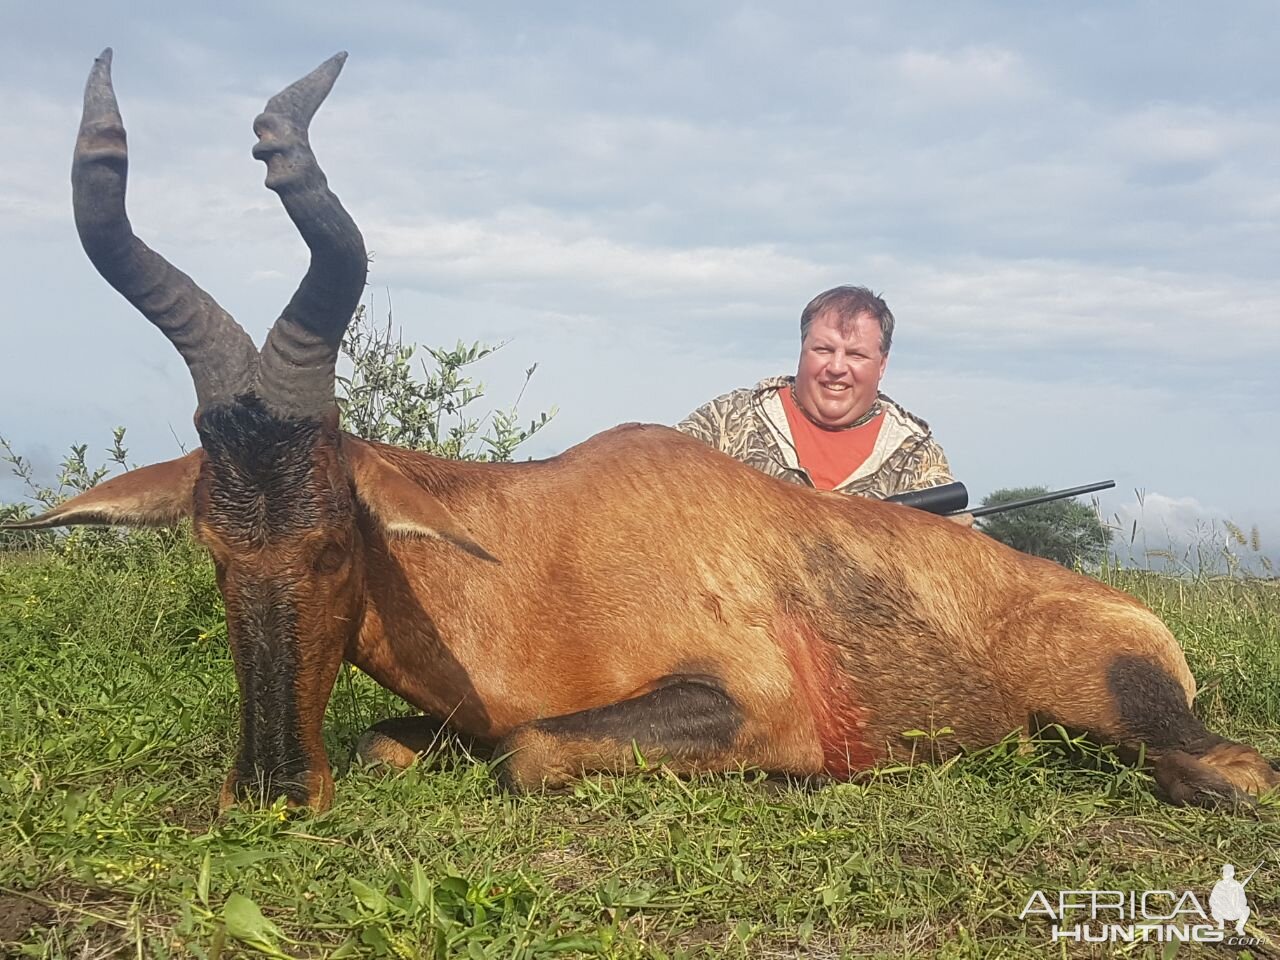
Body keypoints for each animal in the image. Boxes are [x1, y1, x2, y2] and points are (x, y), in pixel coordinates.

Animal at [5, 50, 1274, 819]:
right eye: (217, 547)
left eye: (332, 542)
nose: (270, 793)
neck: (539, 546)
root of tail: (1133, 615)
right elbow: (413, 740)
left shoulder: (741, 697)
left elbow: (530, 747)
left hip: (1118, 704)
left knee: (1232, 770)